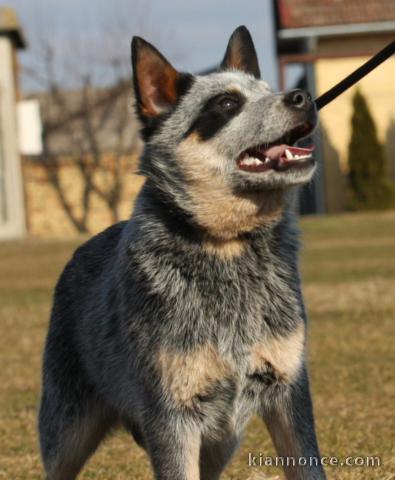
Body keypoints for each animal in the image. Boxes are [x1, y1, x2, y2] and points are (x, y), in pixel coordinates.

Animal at [38, 27, 326, 480]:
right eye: (227, 103)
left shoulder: (288, 391)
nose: (302, 96)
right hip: (66, 430)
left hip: (221, 438)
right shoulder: (171, 415)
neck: (226, 248)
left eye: (267, 91)